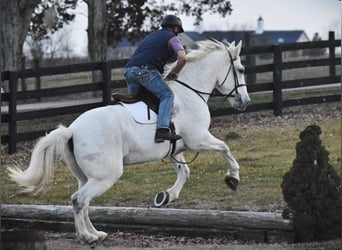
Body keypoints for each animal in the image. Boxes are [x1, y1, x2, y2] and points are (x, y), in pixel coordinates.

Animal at [8, 40, 248, 244]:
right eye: (241, 69)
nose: (245, 101)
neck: (190, 93)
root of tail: (72, 130)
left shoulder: (174, 148)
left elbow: (184, 172)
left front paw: (166, 197)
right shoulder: (198, 139)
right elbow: (225, 148)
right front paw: (233, 178)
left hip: (86, 176)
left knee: (83, 203)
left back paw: (96, 233)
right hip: (106, 175)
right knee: (79, 200)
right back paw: (88, 237)